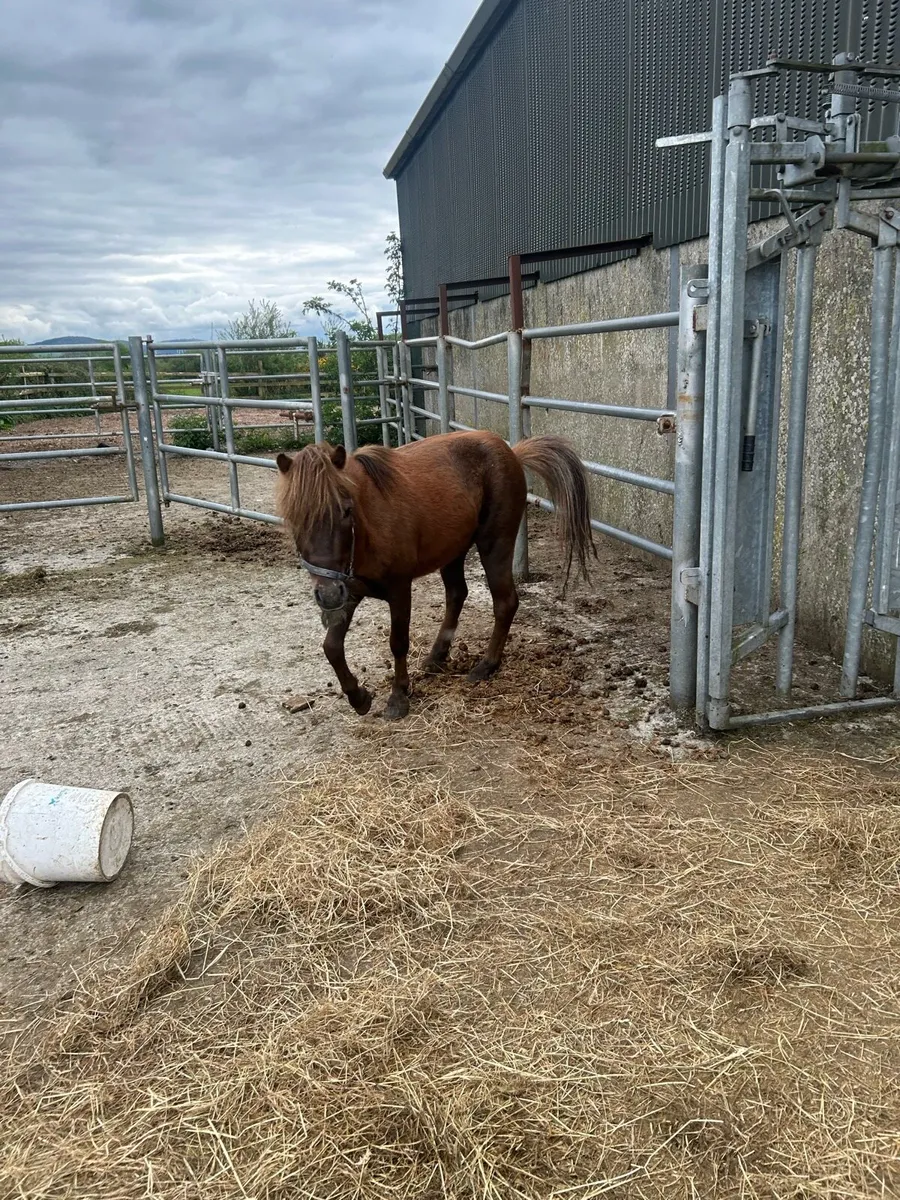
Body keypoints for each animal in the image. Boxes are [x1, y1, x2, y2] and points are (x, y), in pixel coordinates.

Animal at [275, 430, 595, 720]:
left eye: (345, 510)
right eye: (294, 518)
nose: (327, 595)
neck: (369, 525)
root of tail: (513, 453)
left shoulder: (399, 589)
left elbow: (398, 643)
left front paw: (398, 697)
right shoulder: (350, 589)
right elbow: (331, 647)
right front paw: (358, 697)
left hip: (494, 545)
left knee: (505, 602)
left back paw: (486, 666)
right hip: (453, 552)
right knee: (457, 594)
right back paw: (436, 657)